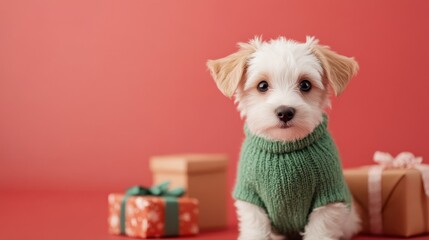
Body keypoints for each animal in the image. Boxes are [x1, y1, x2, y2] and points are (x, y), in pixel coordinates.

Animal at [206, 36, 360, 240]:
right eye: (262, 85)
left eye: (305, 84)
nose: (285, 112)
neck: (285, 147)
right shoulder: (251, 196)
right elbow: (256, 226)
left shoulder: (328, 196)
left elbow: (320, 227)